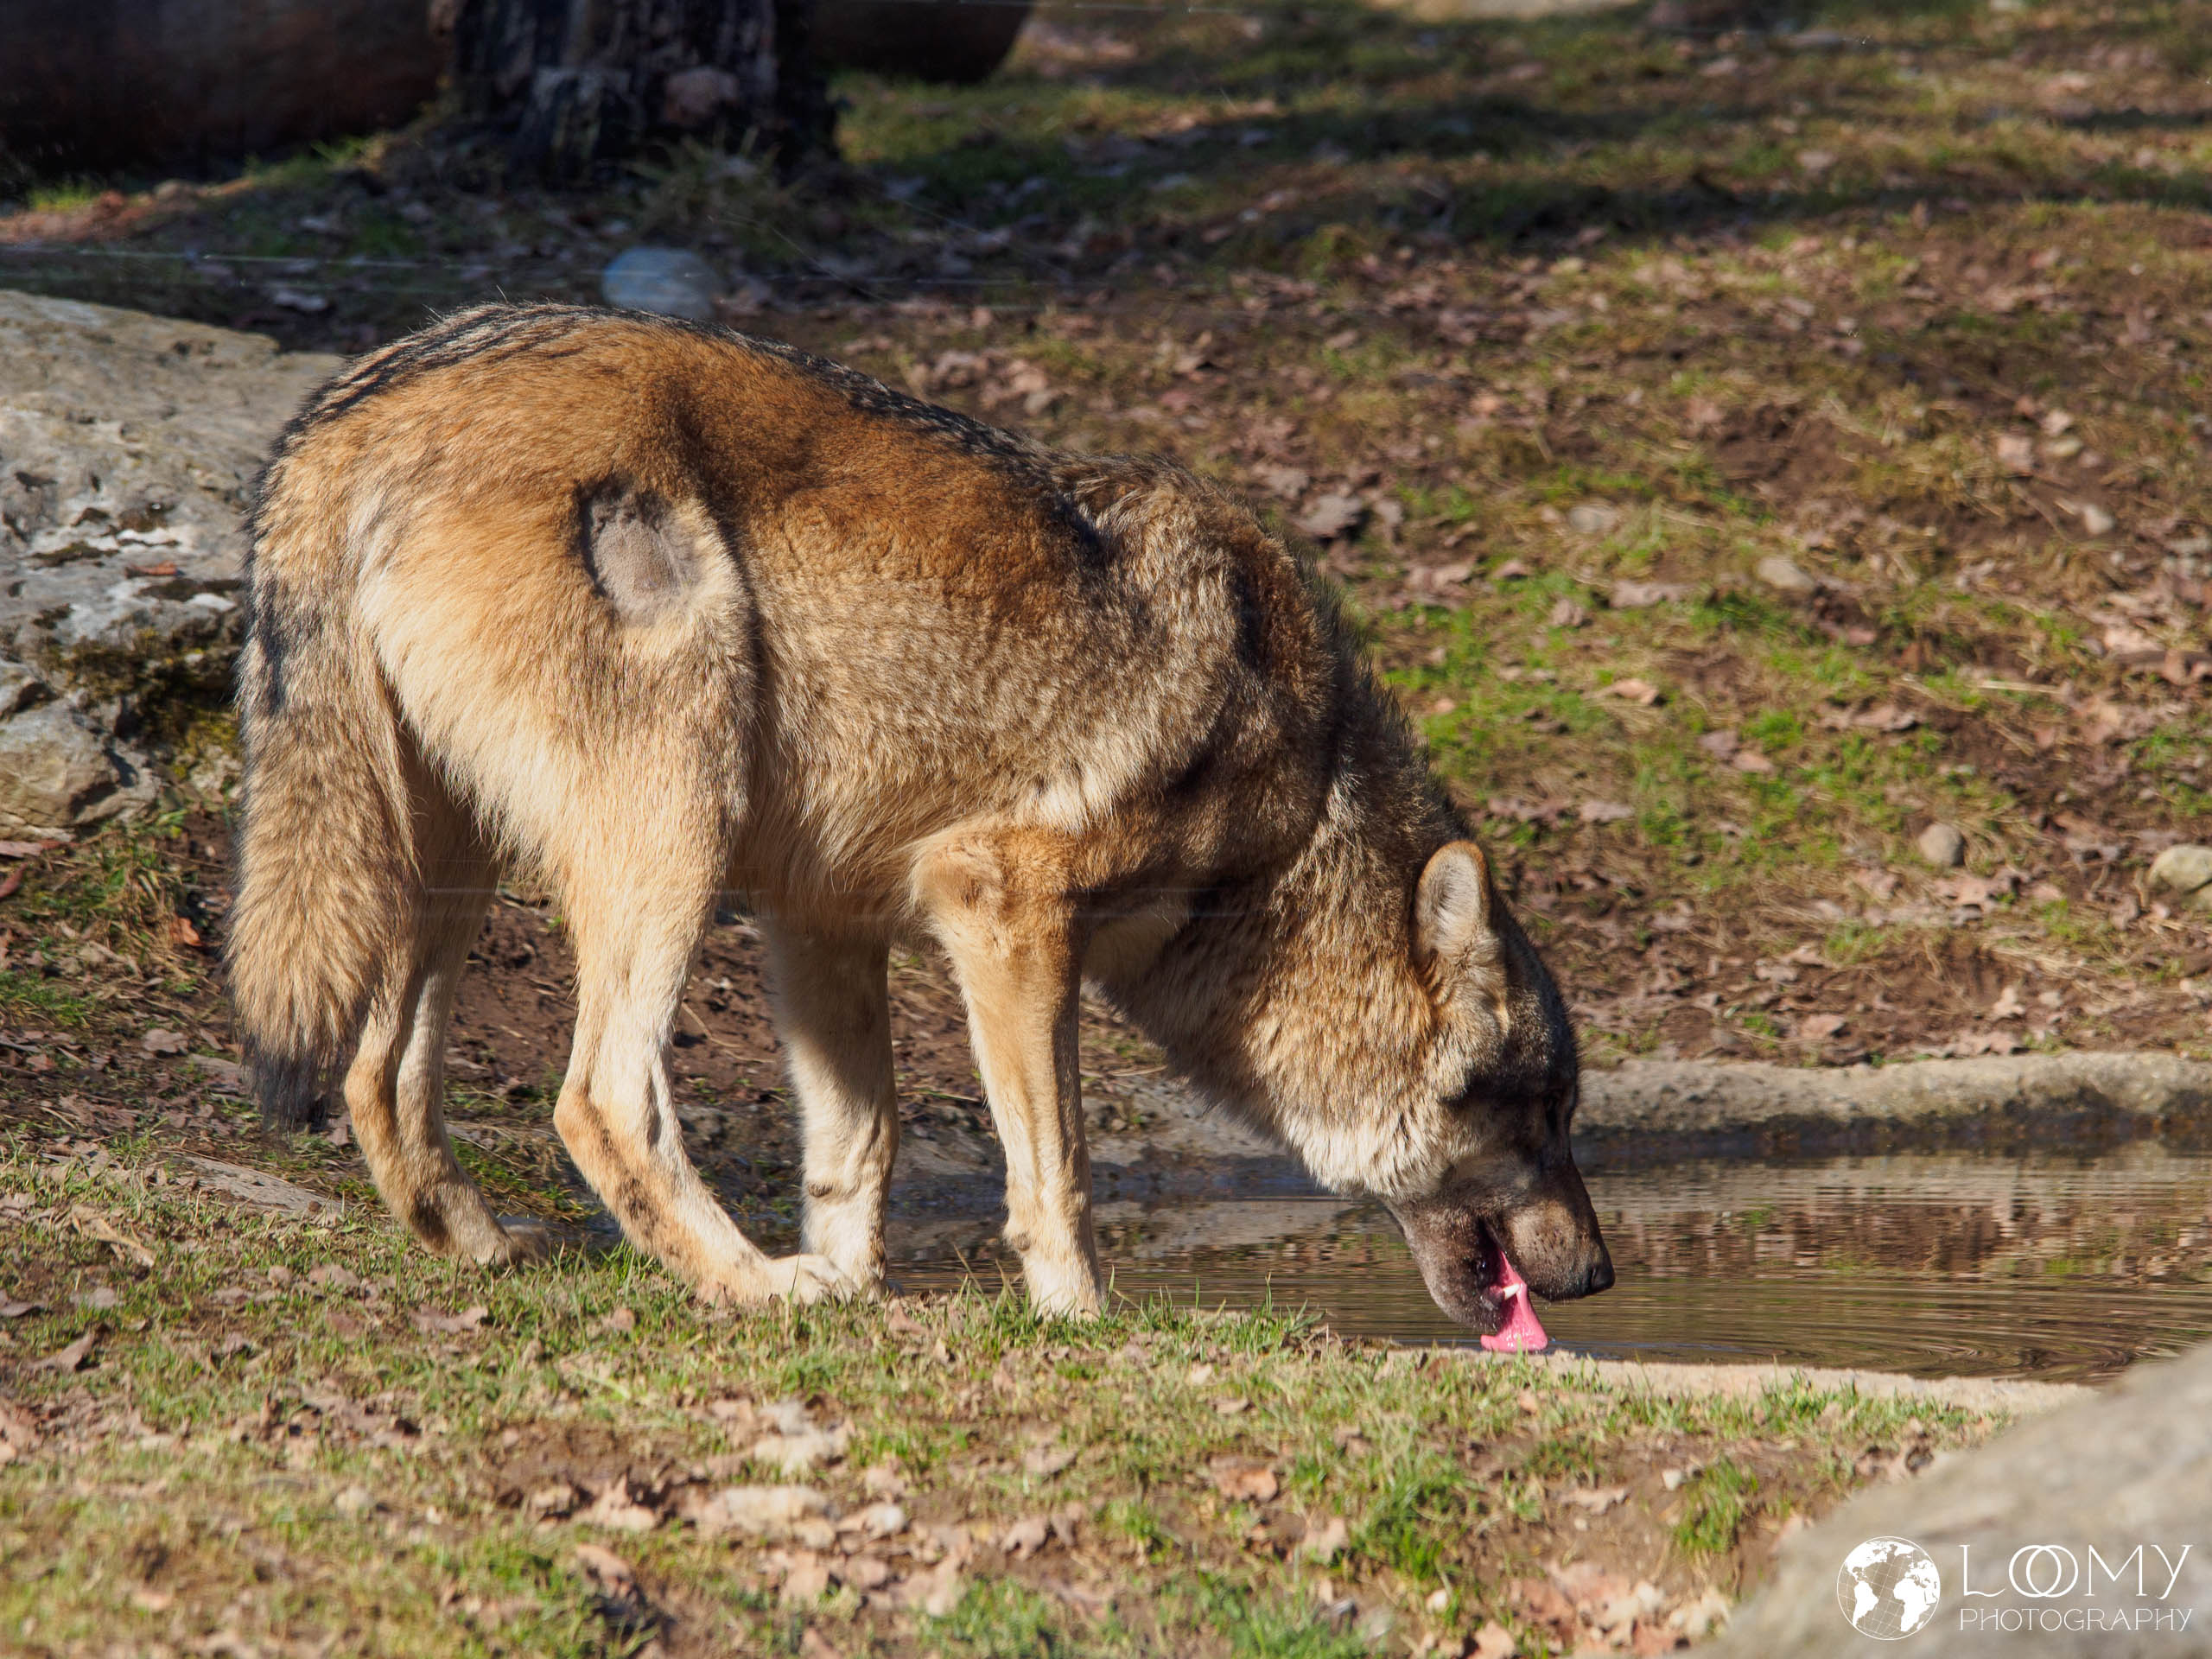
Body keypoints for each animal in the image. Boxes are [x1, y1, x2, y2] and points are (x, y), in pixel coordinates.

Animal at [226, 303, 1613, 1341]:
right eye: (1541, 1109)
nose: (1602, 1276)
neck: (1297, 800)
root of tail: (354, 410)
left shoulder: (819, 925)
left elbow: (860, 1149)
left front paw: (861, 1295)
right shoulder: (1003, 906)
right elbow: (1056, 1171)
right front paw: (1082, 1319)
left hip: (452, 862)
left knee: (378, 1074)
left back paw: (488, 1257)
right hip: (665, 839)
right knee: (599, 1099)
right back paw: (750, 1289)